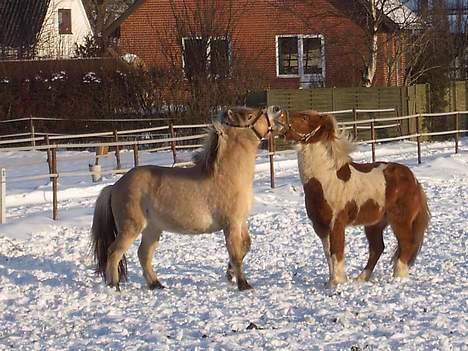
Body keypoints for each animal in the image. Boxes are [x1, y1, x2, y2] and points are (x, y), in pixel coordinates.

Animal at [91, 106, 278, 292]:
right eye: (250, 116)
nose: (275, 110)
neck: (227, 175)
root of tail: (114, 186)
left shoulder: (241, 222)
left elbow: (245, 246)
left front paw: (229, 273)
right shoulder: (231, 225)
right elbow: (236, 254)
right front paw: (243, 284)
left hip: (152, 229)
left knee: (143, 254)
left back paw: (156, 284)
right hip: (131, 228)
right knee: (114, 252)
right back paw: (114, 286)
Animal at [274, 110, 432, 288]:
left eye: (304, 117)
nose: (279, 115)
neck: (326, 180)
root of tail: (414, 180)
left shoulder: (337, 223)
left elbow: (336, 251)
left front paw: (338, 282)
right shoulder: (320, 226)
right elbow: (328, 254)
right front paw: (330, 282)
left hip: (400, 221)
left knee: (406, 244)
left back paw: (398, 276)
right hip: (375, 224)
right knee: (377, 248)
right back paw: (361, 278)